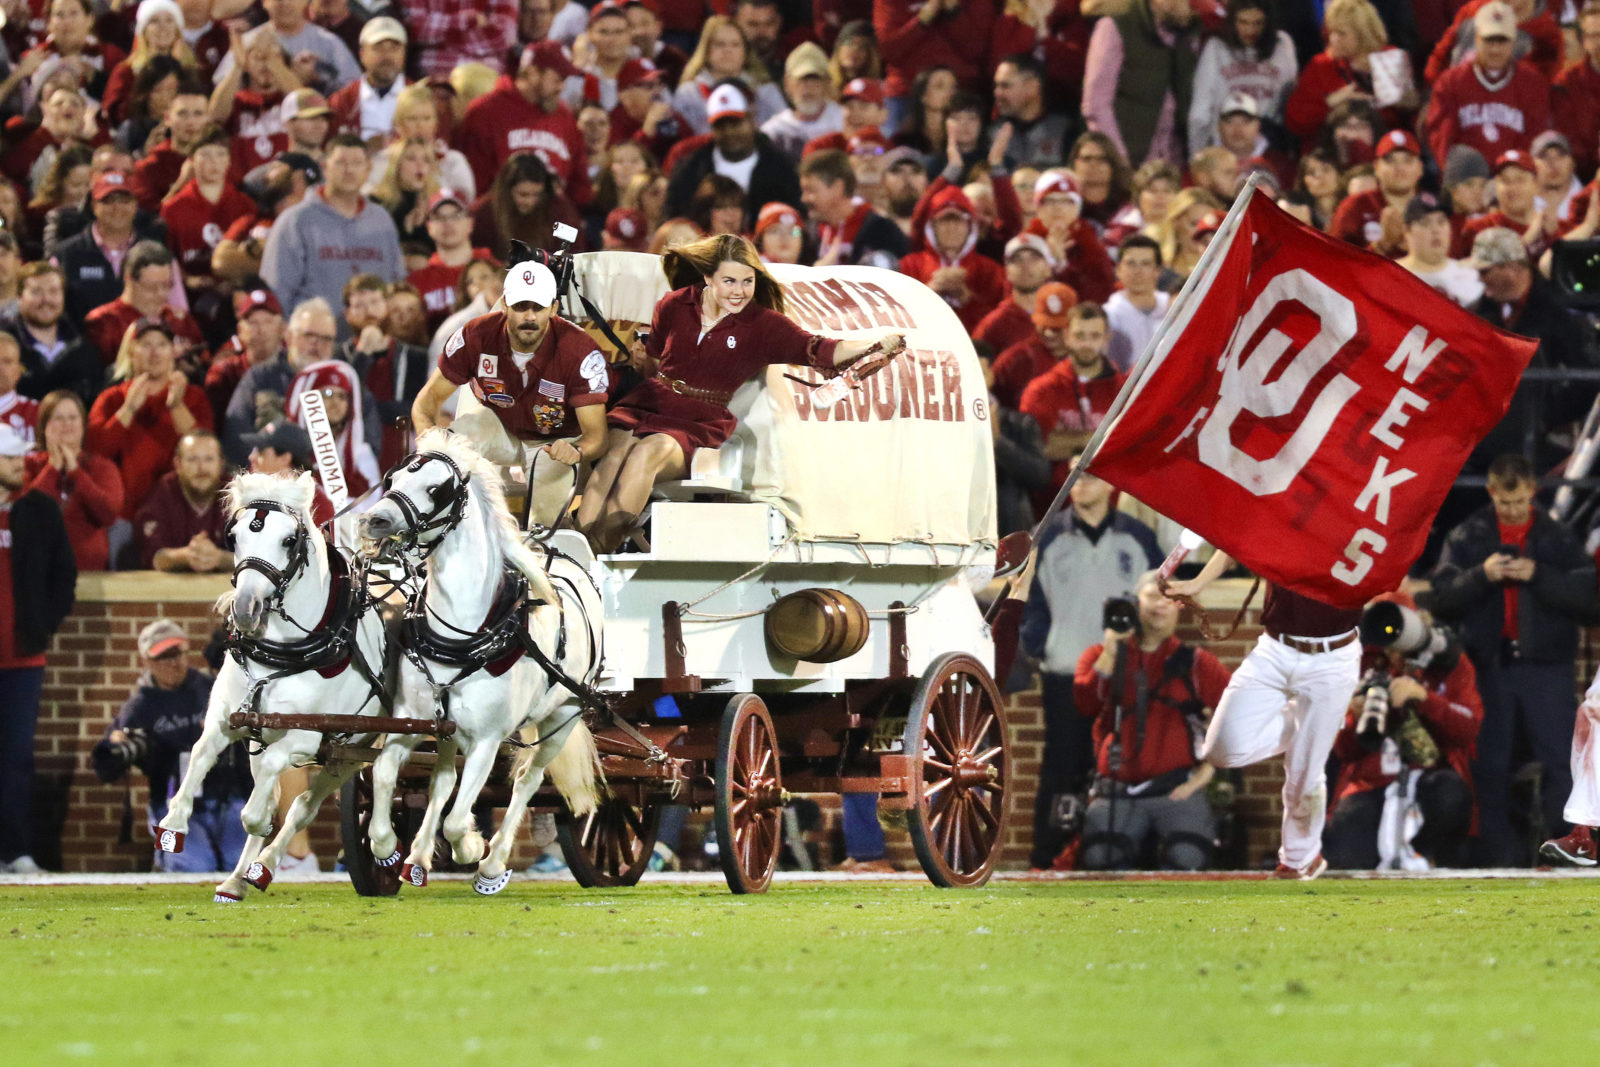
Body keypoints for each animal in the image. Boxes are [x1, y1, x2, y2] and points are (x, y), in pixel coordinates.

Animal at [156, 470, 393, 895]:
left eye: (288, 540)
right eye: (234, 537)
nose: (245, 608)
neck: (288, 650)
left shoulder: (305, 735)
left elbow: (262, 802)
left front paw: (257, 824)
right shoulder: (230, 717)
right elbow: (201, 753)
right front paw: (173, 825)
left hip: (356, 746)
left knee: (305, 807)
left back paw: (267, 865)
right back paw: (236, 879)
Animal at [360, 428, 601, 895]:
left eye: (437, 489)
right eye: (393, 477)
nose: (374, 520)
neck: (462, 634)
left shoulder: (488, 740)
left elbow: (457, 819)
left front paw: (471, 848)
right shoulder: (410, 721)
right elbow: (383, 774)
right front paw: (386, 848)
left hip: (563, 716)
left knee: (528, 781)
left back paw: (492, 863)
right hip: (449, 731)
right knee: (442, 781)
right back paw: (417, 857)